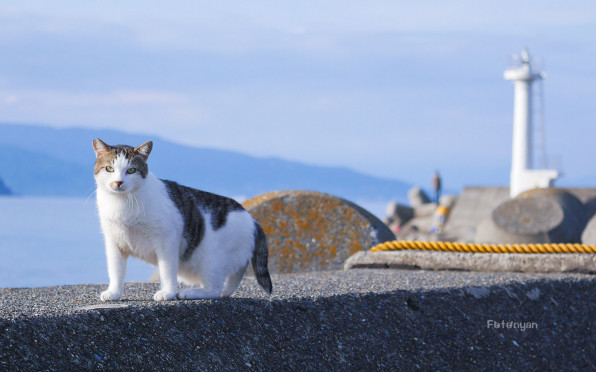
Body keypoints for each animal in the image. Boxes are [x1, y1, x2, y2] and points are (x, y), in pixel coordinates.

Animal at [92, 138, 272, 300]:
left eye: (131, 170)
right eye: (109, 169)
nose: (118, 182)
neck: (122, 203)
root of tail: (253, 220)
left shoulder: (166, 238)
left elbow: (167, 269)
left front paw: (167, 293)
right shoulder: (114, 242)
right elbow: (116, 270)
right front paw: (114, 293)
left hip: (210, 259)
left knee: (215, 289)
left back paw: (189, 293)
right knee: (235, 276)